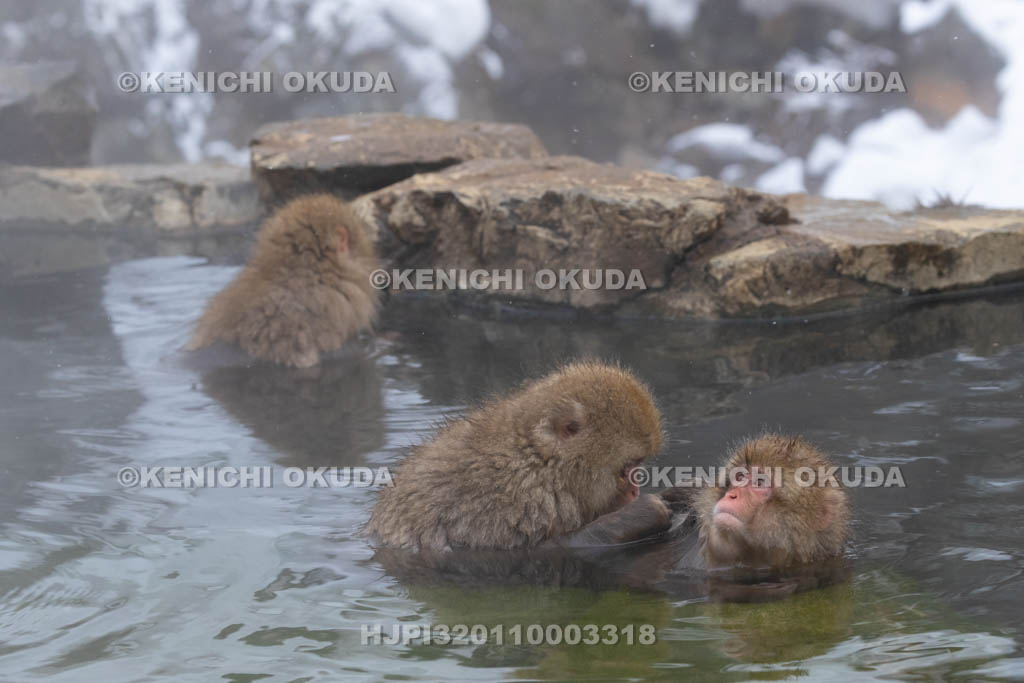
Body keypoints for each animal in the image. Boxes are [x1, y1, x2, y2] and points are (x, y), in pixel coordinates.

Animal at [366, 361, 673, 552]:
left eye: (638, 466)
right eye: (627, 469)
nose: (635, 491)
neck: (538, 462)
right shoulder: (506, 504)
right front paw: (645, 512)